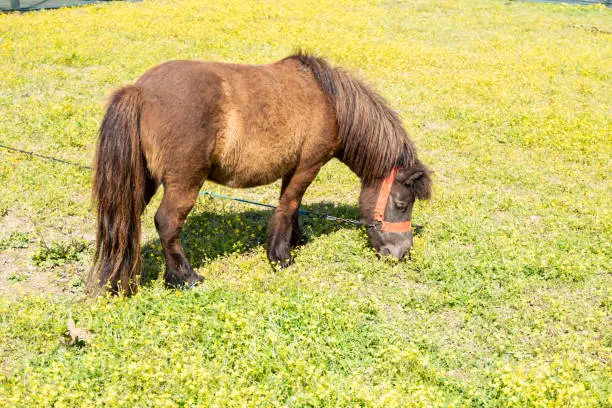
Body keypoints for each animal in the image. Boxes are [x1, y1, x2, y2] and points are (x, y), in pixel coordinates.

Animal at [89, 51, 430, 294]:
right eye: (401, 204)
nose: (401, 253)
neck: (330, 101)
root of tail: (139, 91)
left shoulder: (292, 167)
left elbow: (290, 205)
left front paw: (296, 239)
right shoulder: (308, 165)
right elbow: (288, 204)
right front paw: (280, 256)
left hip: (142, 181)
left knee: (126, 220)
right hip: (184, 183)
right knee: (167, 223)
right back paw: (184, 278)